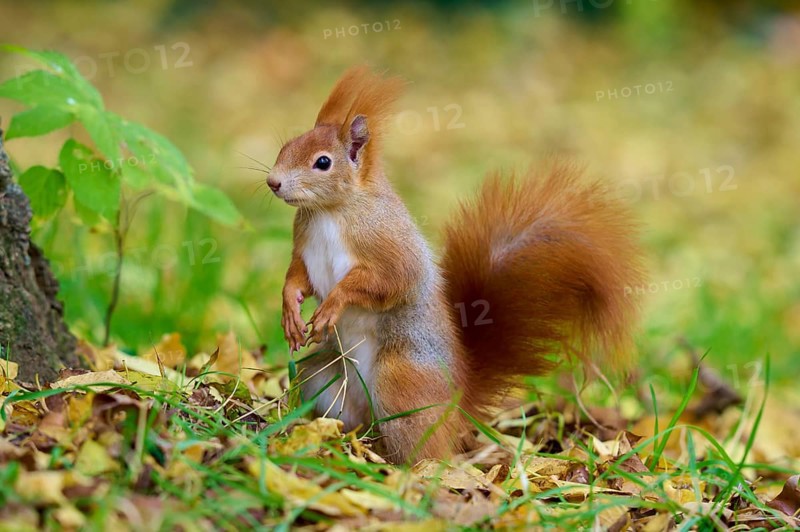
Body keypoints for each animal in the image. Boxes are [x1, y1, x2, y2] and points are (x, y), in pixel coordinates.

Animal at [267, 66, 644, 464]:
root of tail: (458, 401)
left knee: (426, 448)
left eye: (323, 162)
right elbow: (298, 277)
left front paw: (332, 306)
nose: (273, 182)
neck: (330, 212)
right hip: (321, 377)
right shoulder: (305, 248)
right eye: (287, 145)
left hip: (401, 383)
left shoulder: (389, 245)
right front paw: (290, 312)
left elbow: (389, 281)